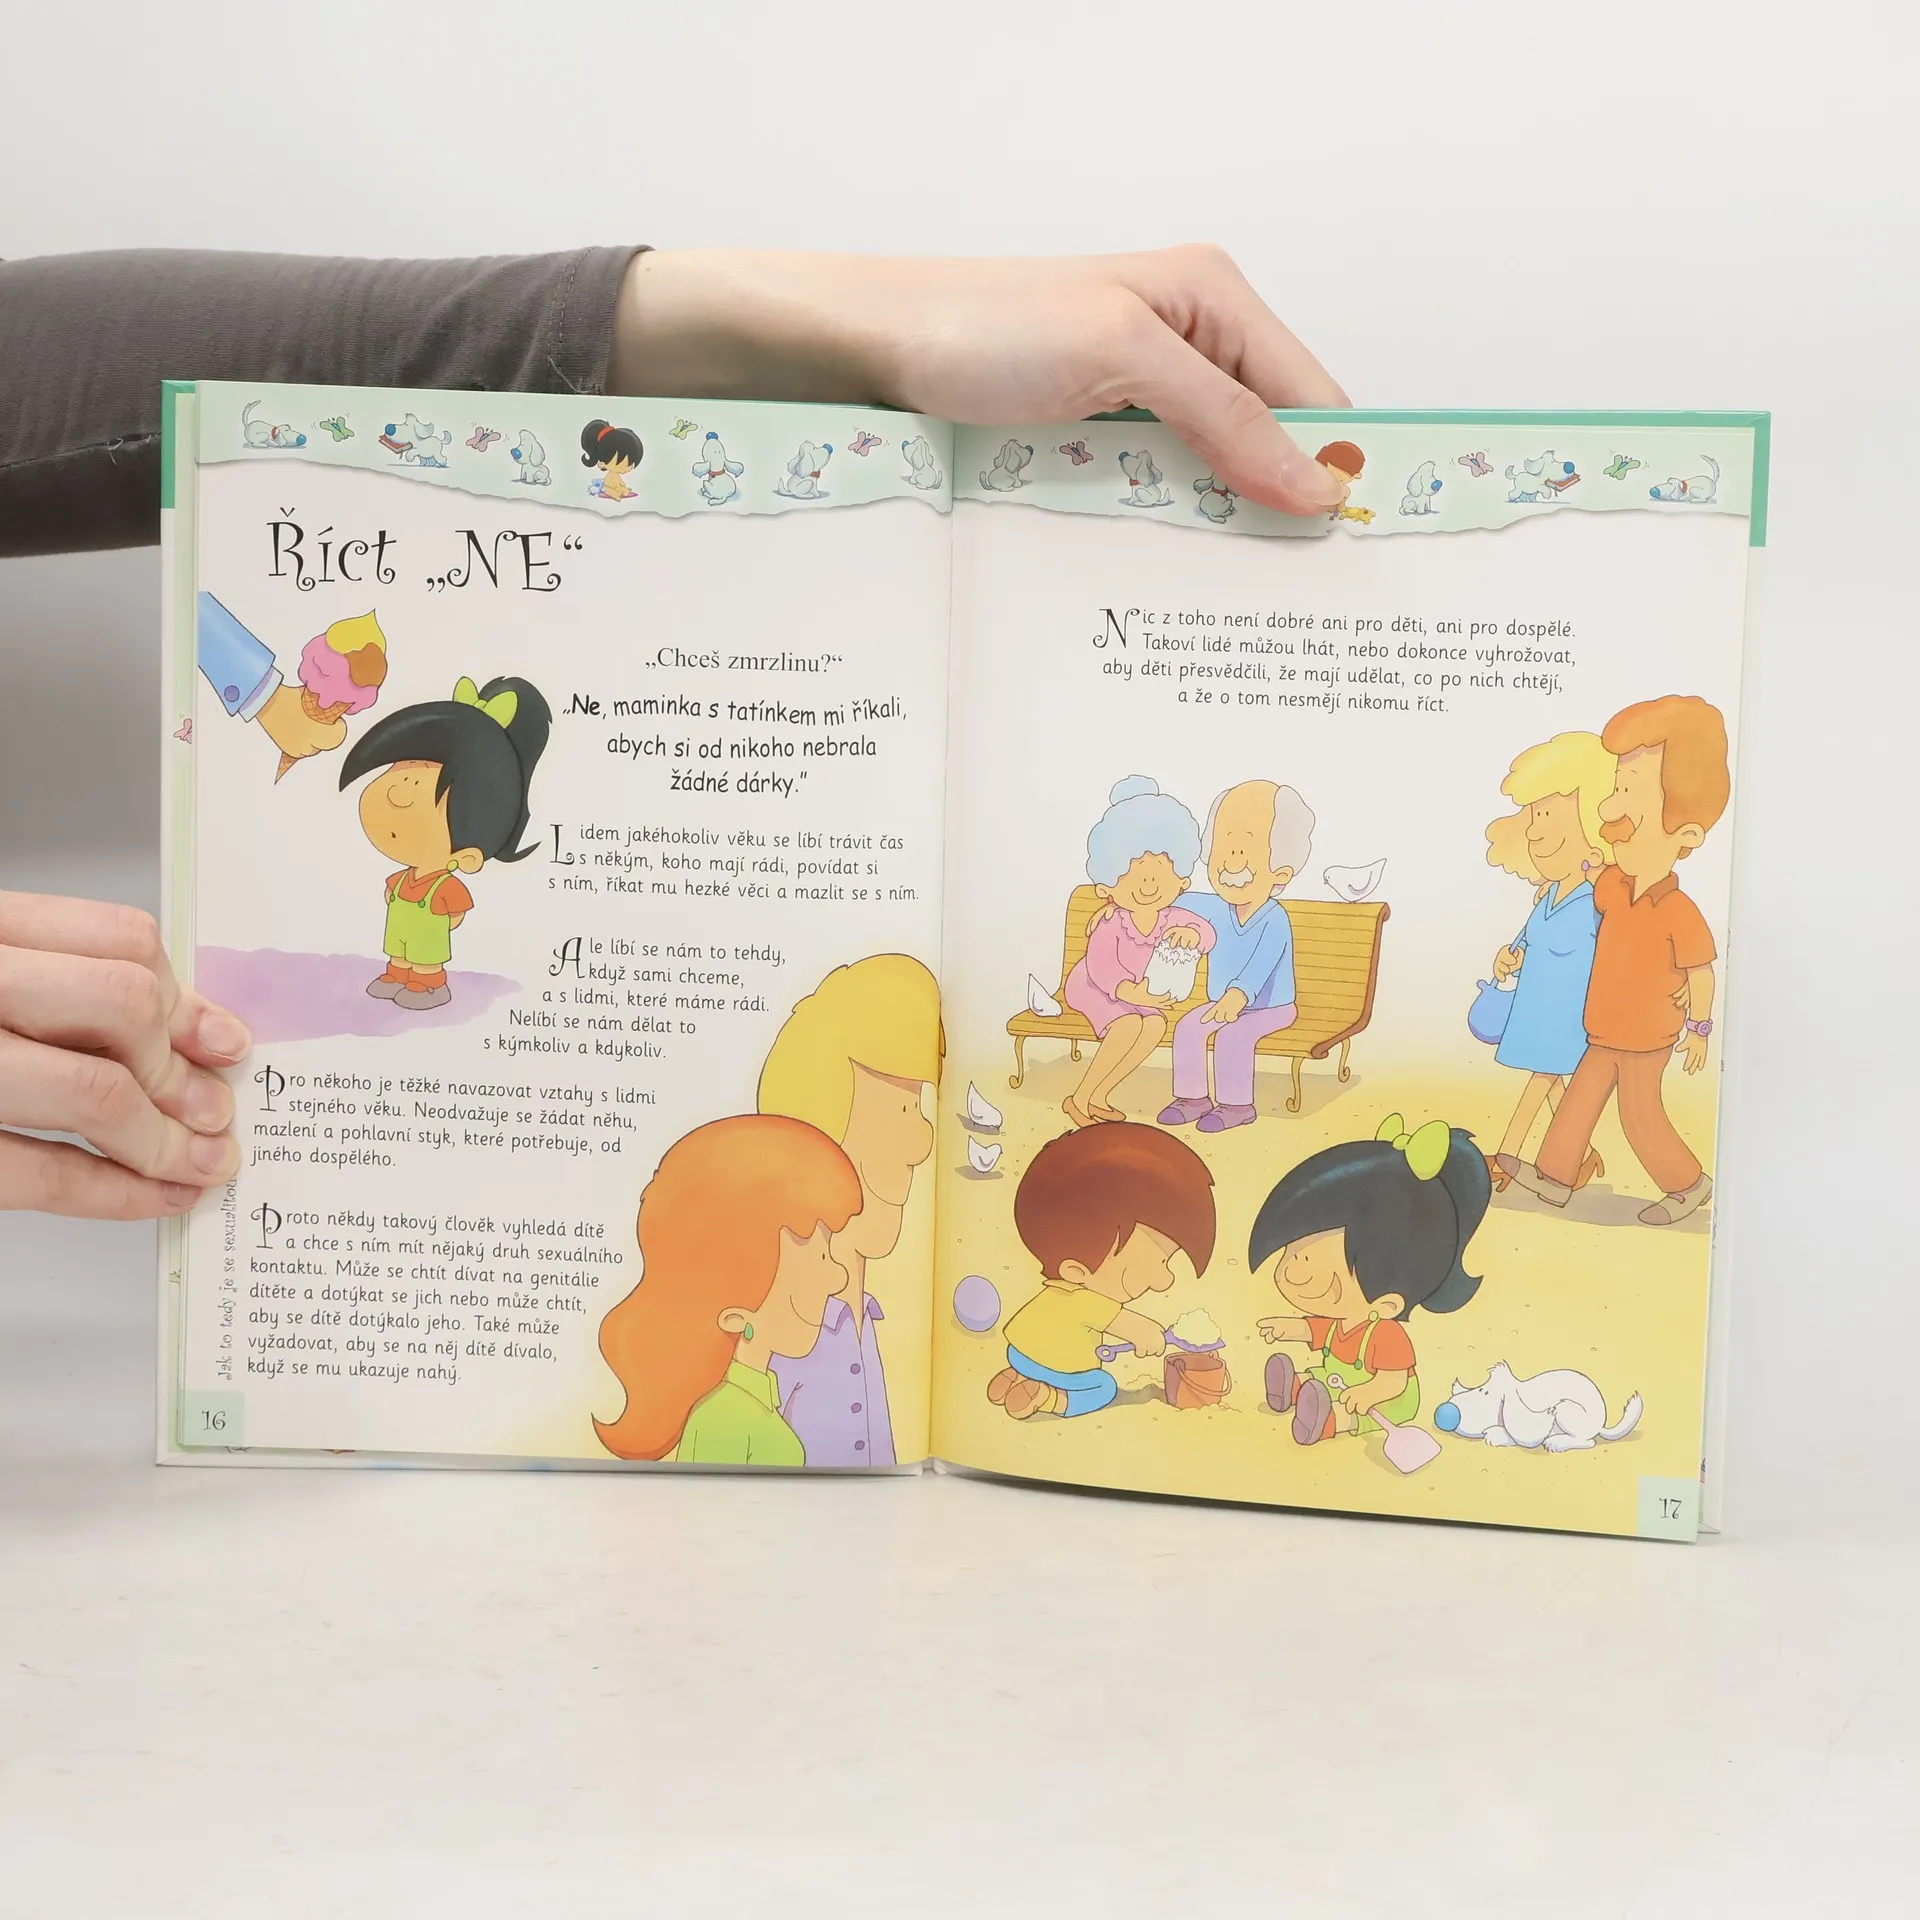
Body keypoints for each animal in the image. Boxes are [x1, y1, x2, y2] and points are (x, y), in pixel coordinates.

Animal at [1434, 1361, 1643, 1452]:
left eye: (1484, 1392)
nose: (1447, 1408)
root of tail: (1601, 1425)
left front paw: (1493, 1436)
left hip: (1567, 1410)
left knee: (1588, 1441)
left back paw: (1555, 1444)